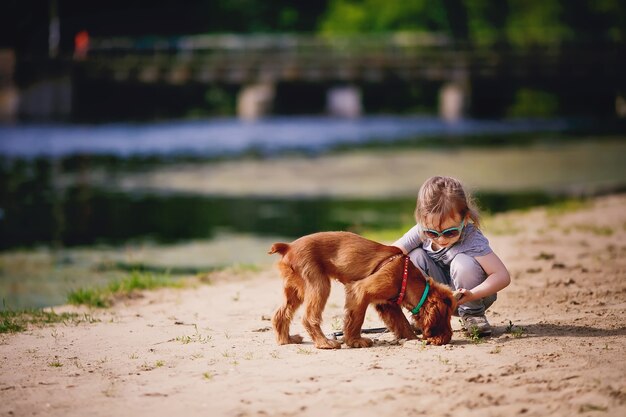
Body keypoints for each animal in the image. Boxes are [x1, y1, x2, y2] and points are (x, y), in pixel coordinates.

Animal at [266, 231, 454, 348]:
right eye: (446, 317)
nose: (447, 338)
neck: (407, 277)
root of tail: (288, 246)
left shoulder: (387, 305)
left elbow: (402, 323)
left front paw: (412, 339)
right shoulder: (360, 291)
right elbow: (356, 319)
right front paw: (355, 341)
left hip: (295, 289)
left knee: (280, 314)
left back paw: (287, 340)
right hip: (319, 284)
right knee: (308, 317)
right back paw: (324, 343)